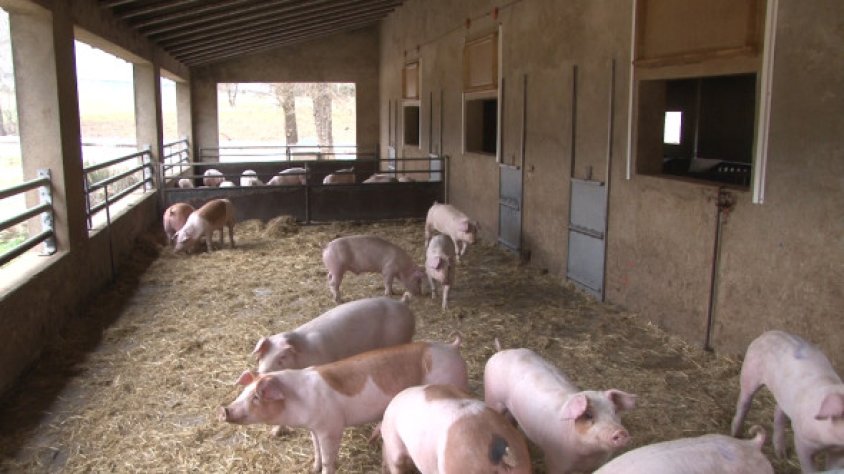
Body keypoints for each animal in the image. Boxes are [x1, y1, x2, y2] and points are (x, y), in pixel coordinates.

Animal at [219, 338, 469, 474]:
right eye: (243, 392)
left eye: (256, 397)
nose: (224, 410)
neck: (300, 400)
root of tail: (451, 347)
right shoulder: (314, 428)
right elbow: (316, 449)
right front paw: (313, 467)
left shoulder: (331, 427)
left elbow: (329, 456)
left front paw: (324, 468)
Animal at [484, 345, 636, 473]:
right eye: (588, 415)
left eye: (615, 411)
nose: (620, 432)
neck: (588, 455)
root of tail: (502, 351)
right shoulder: (555, 460)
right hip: (493, 397)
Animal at [730, 330, 844, 473]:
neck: (829, 441)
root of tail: (769, 333)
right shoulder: (801, 441)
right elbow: (808, 467)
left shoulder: (838, 452)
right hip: (749, 372)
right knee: (744, 401)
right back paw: (735, 433)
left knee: (778, 411)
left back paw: (781, 454)